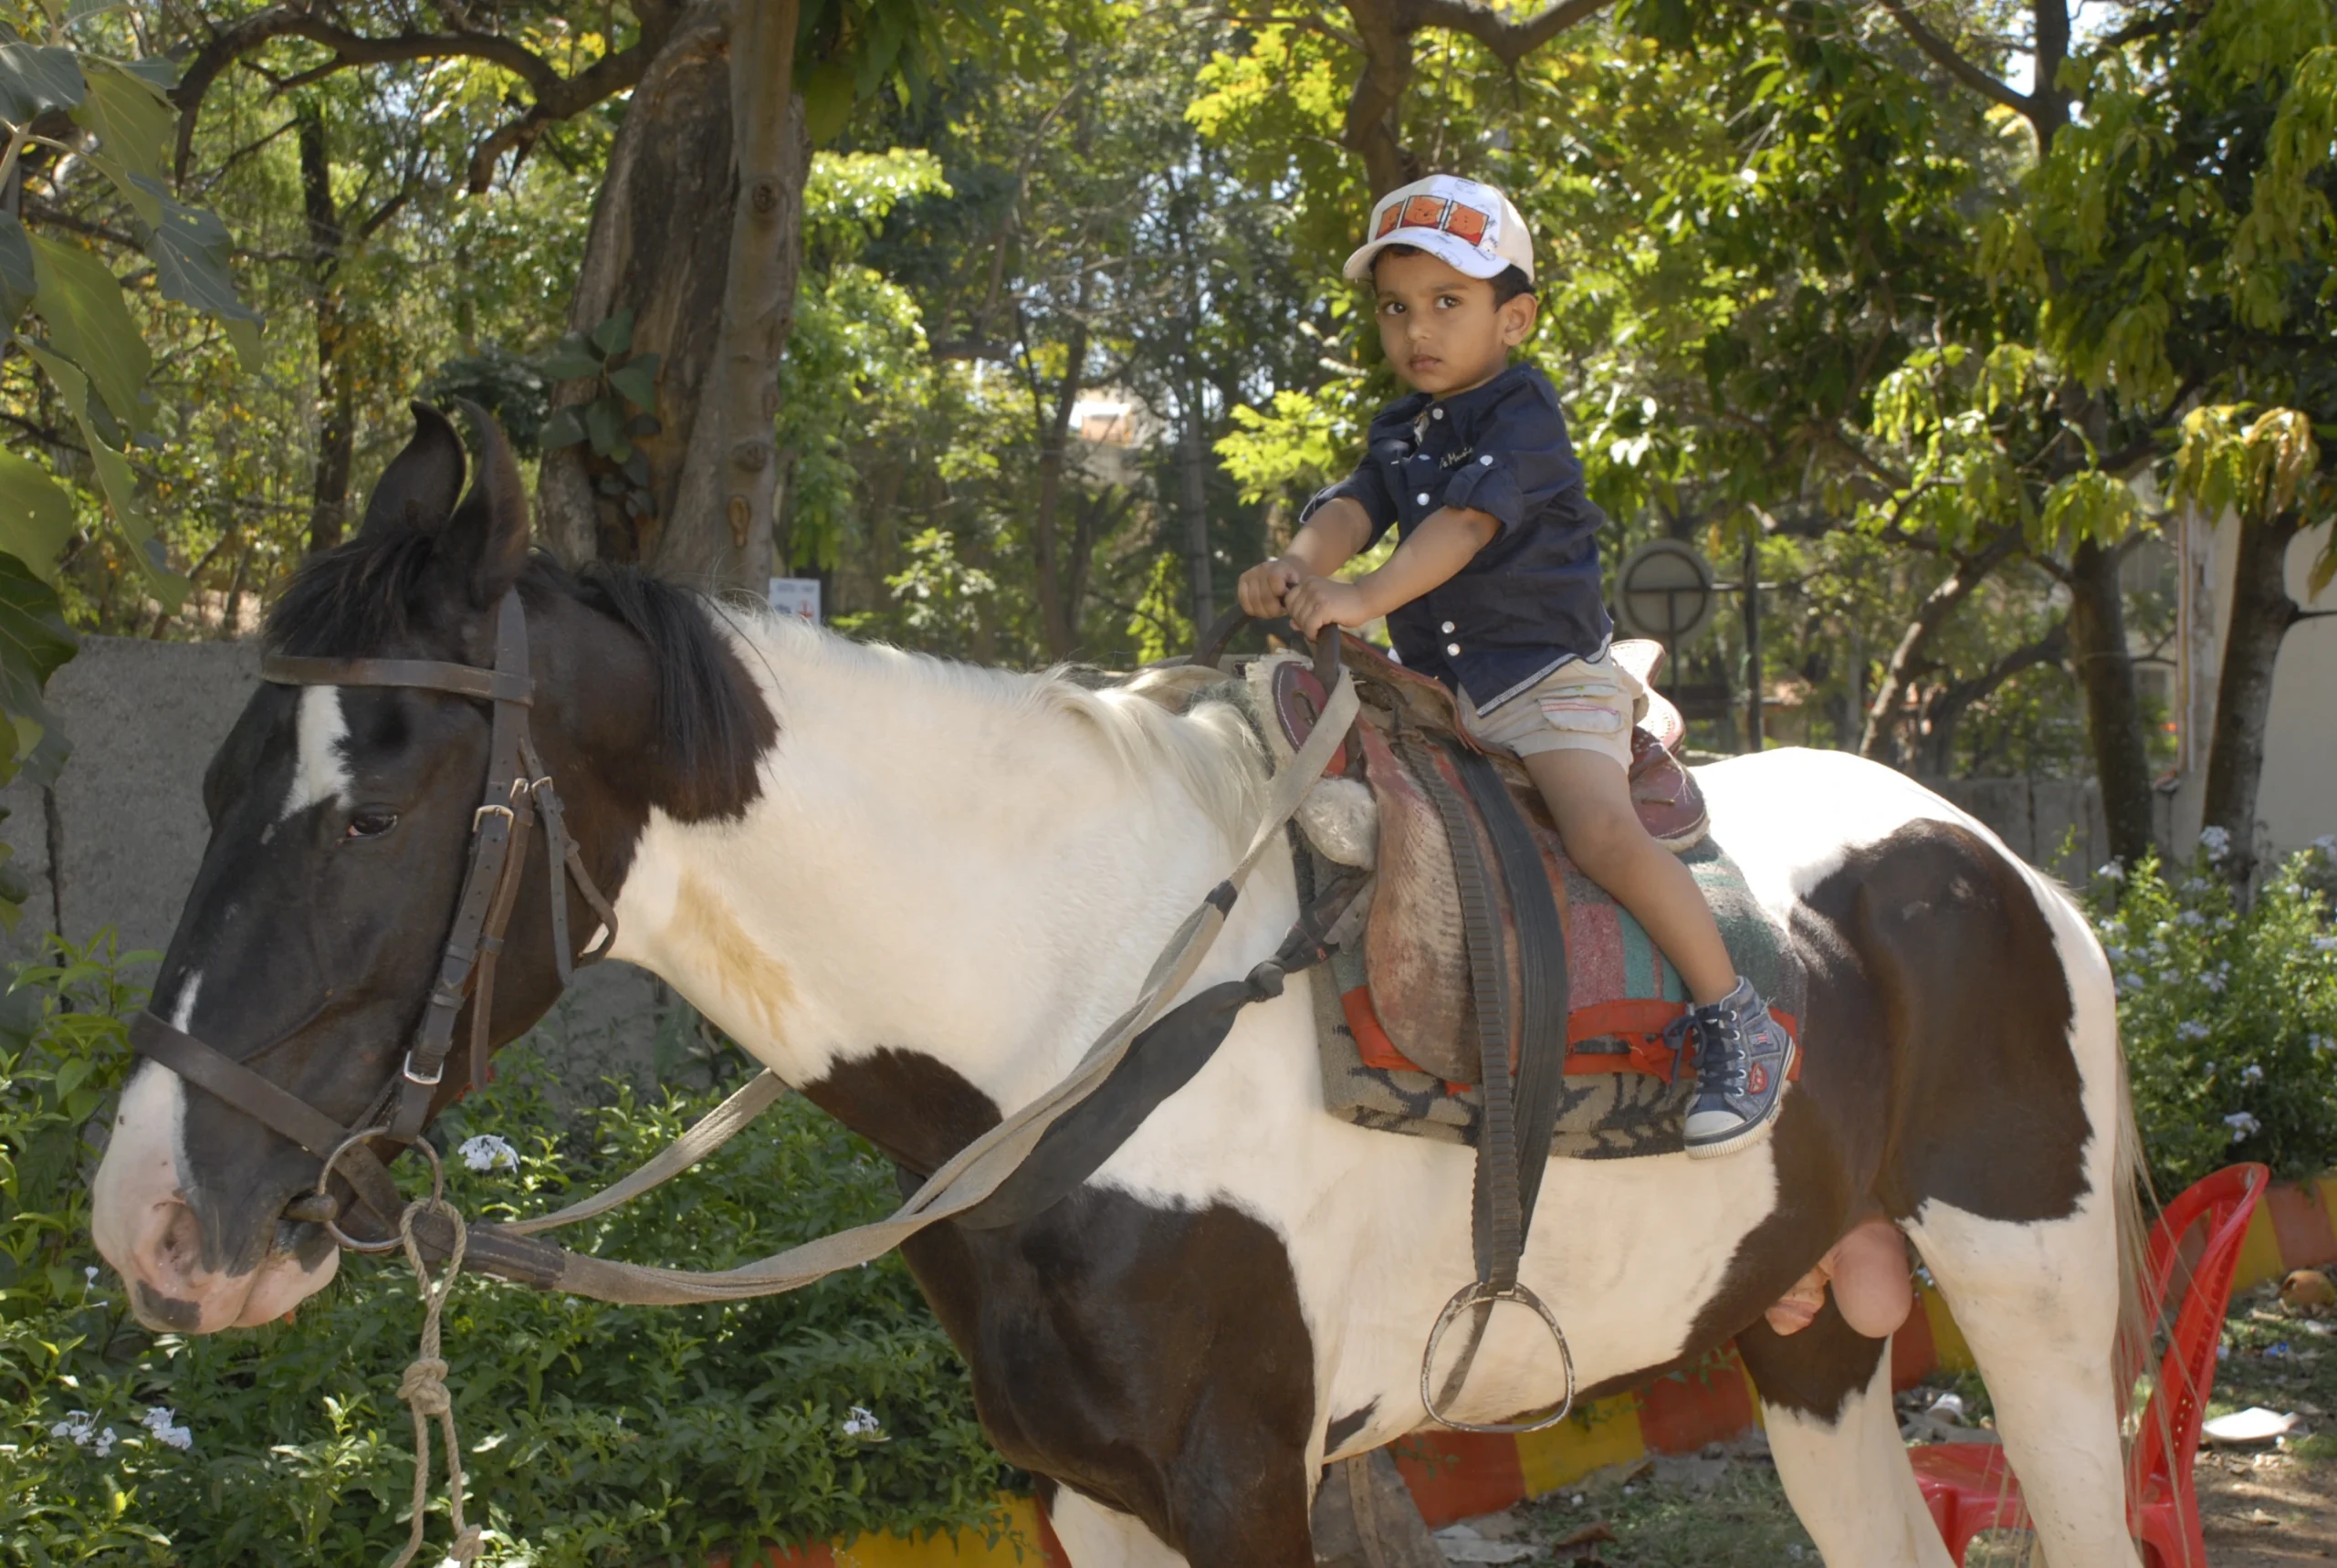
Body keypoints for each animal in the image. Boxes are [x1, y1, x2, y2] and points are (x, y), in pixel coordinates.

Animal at [91, 407, 2145, 1567]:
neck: (1058, 1013)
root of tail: (2006, 861)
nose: (149, 1221)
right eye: (205, 785)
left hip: (2027, 1297)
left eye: (371, 814)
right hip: (1806, 1326)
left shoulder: (1239, 1482)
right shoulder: (1078, 1490)